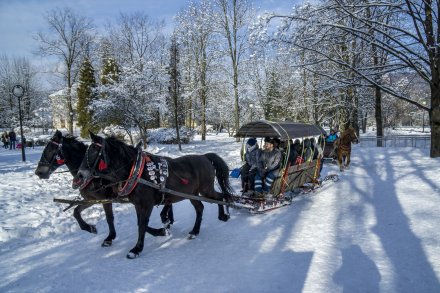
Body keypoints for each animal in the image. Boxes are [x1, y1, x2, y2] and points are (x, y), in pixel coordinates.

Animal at [34, 130, 174, 246]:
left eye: (51, 149)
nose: (38, 172)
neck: (93, 177)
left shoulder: (106, 199)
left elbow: (110, 218)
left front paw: (110, 237)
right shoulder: (90, 199)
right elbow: (76, 212)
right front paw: (90, 228)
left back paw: (166, 218)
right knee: (168, 200)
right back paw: (167, 218)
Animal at [74, 132, 234, 258]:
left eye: (93, 150)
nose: (79, 176)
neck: (135, 171)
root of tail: (205, 157)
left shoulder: (146, 204)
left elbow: (142, 225)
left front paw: (136, 249)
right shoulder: (138, 205)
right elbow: (141, 224)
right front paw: (162, 231)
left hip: (205, 190)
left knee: (219, 197)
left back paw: (222, 215)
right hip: (192, 193)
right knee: (200, 207)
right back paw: (195, 231)